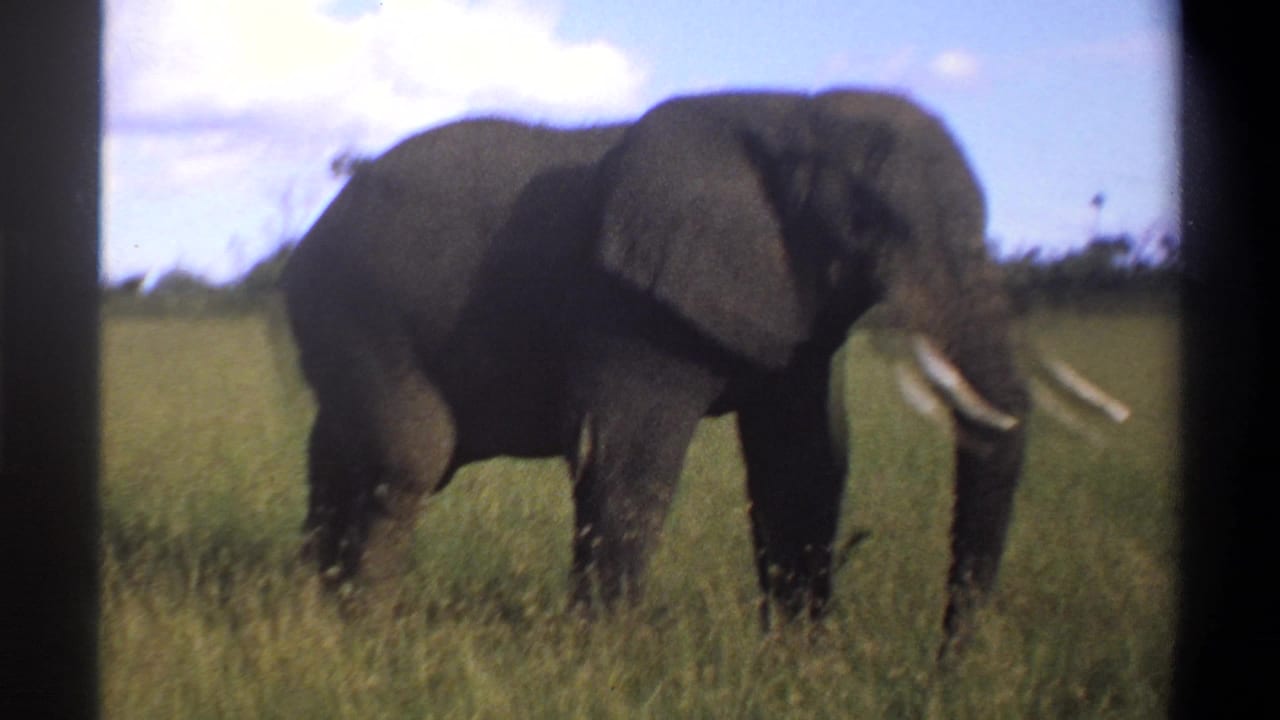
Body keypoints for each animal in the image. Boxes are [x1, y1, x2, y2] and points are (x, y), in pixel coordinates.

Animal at [280, 88, 1030, 653]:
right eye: (869, 221)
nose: (943, 667)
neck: (795, 115)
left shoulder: (796, 311)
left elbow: (804, 466)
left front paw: (798, 666)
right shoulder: (629, 311)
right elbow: (627, 463)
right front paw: (604, 662)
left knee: (337, 456)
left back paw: (313, 614)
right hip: (356, 305)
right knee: (410, 459)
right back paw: (366, 633)